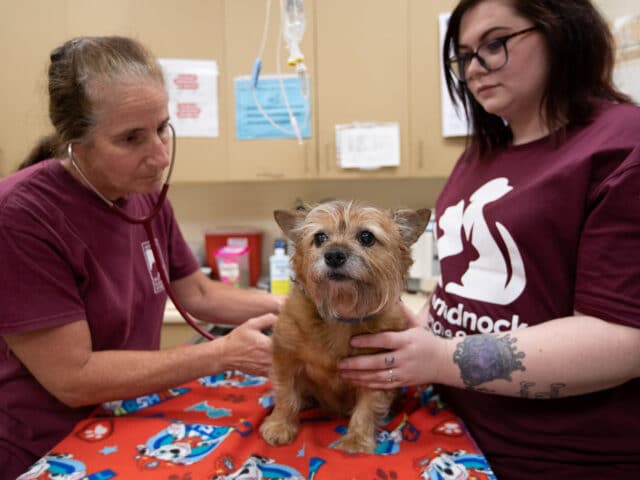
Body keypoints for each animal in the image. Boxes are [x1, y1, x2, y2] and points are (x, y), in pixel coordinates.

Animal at [258, 200, 430, 454]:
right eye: (320, 237)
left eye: (366, 237)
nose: (334, 255)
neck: (341, 314)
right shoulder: (285, 357)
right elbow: (285, 393)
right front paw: (280, 426)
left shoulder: (376, 371)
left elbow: (368, 407)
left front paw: (355, 441)